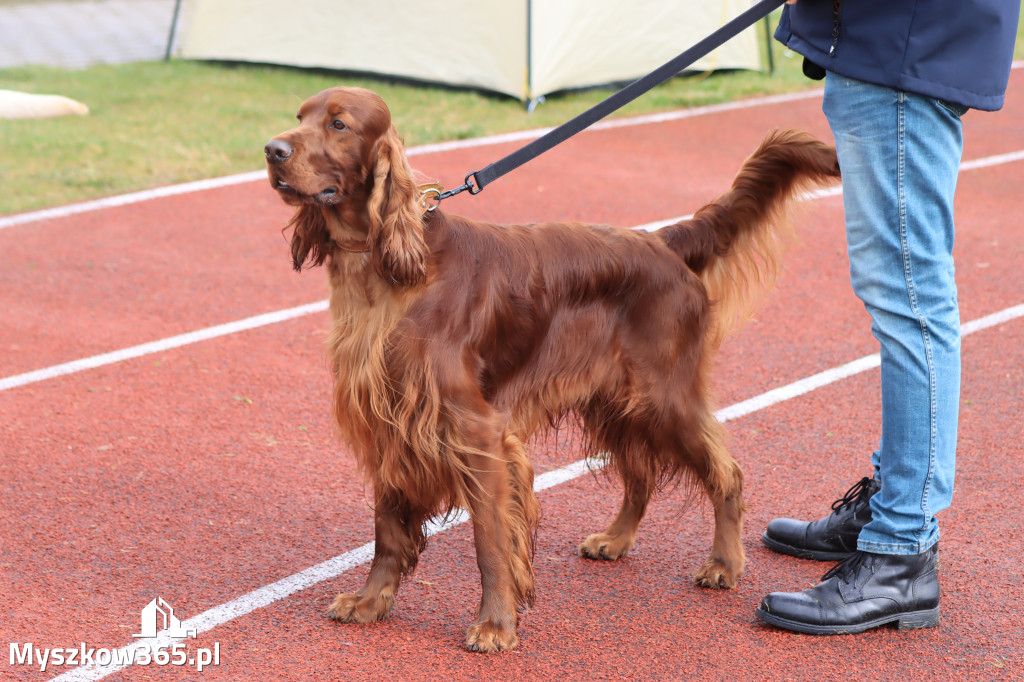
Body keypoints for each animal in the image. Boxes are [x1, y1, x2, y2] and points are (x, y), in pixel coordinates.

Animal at [264, 84, 839, 647]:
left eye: (339, 123)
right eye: (299, 116)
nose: (272, 150)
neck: (387, 269)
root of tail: (662, 241)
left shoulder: (476, 432)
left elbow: (490, 539)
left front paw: (496, 625)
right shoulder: (389, 418)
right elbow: (386, 528)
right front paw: (369, 602)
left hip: (664, 396)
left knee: (727, 472)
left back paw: (725, 563)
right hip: (616, 399)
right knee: (642, 472)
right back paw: (615, 539)